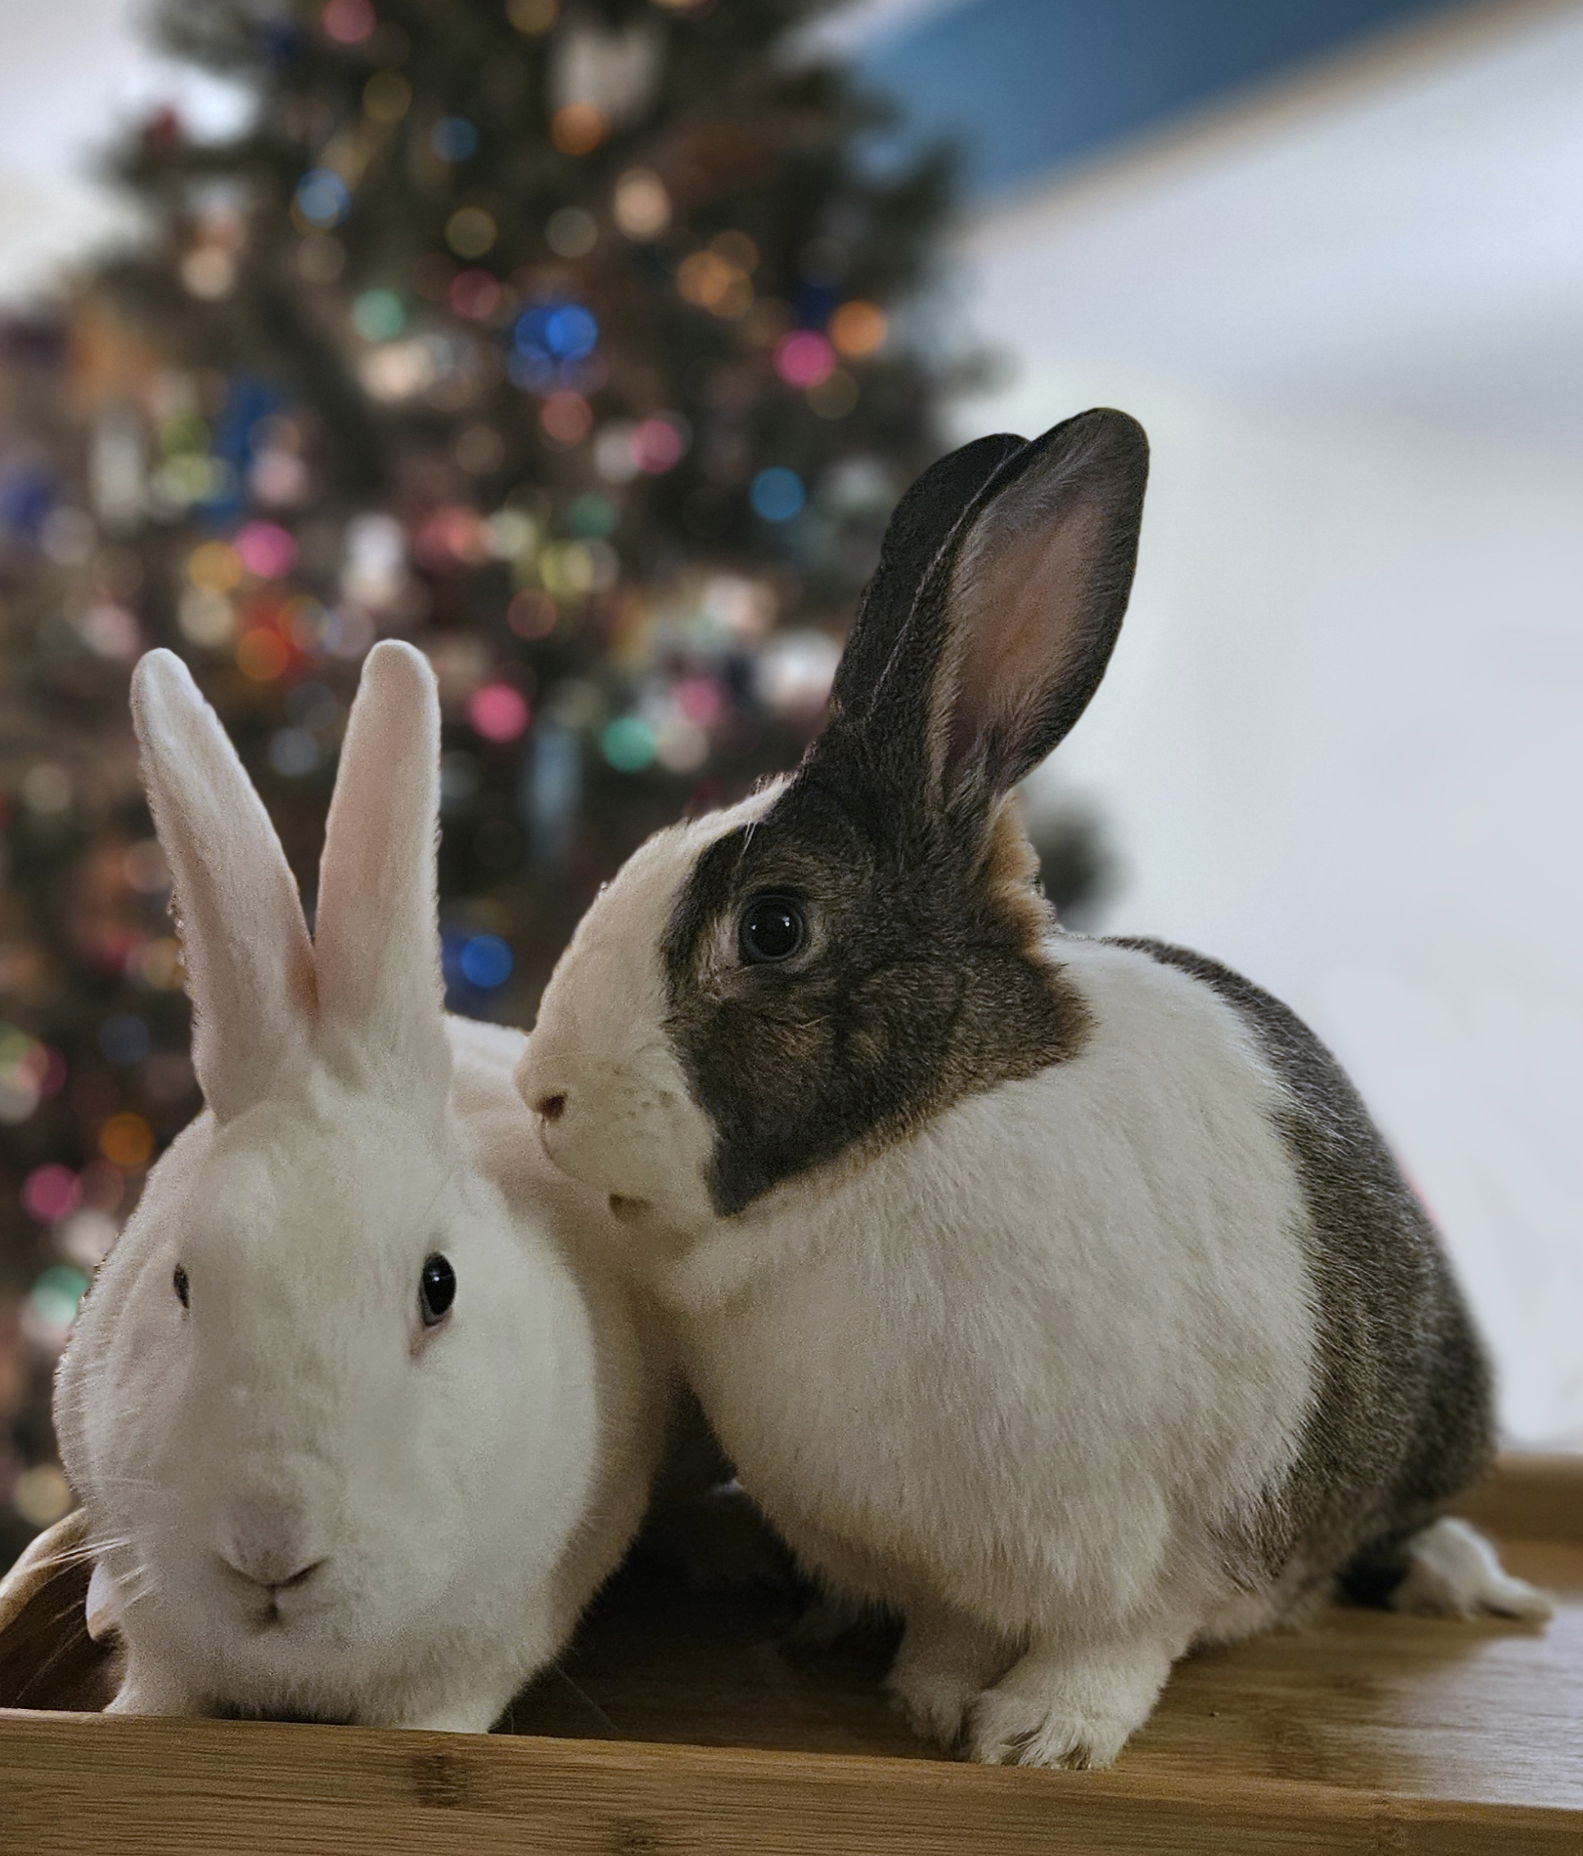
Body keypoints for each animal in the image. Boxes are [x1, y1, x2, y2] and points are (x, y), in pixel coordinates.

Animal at [52, 645, 664, 1729]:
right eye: (180, 1285)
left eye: (438, 1287)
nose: (269, 1545)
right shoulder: (161, 1641)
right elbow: (153, 1698)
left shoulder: (477, 1658)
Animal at [515, 413, 1544, 1774]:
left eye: (773, 926)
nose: (542, 1094)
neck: (888, 1155)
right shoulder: (932, 1552)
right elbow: (950, 1626)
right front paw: (928, 1698)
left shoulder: (1167, 1540)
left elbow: (1115, 1644)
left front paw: (1036, 1738)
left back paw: (1453, 1572)